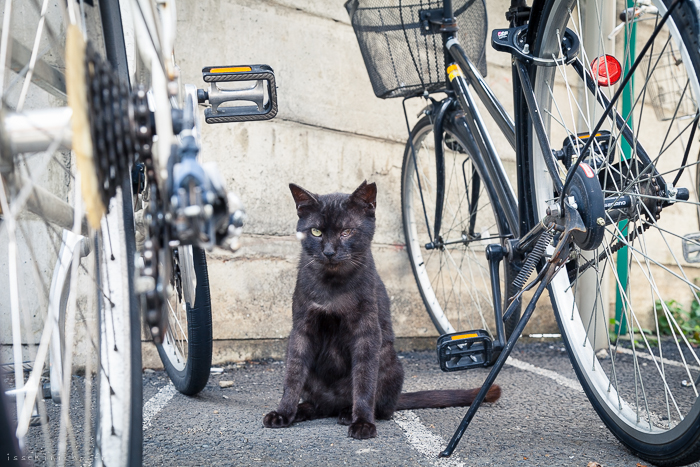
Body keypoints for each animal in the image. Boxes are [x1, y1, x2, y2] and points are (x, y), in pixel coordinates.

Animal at [262, 182, 498, 438]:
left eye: (347, 232)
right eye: (316, 232)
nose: (329, 252)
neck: (332, 285)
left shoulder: (367, 331)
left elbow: (364, 380)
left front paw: (363, 422)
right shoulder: (301, 329)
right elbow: (293, 375)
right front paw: (283, 412)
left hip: (389, 360)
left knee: (381, 407)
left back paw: (348, 413)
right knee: (318, 406)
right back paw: (303, 410)